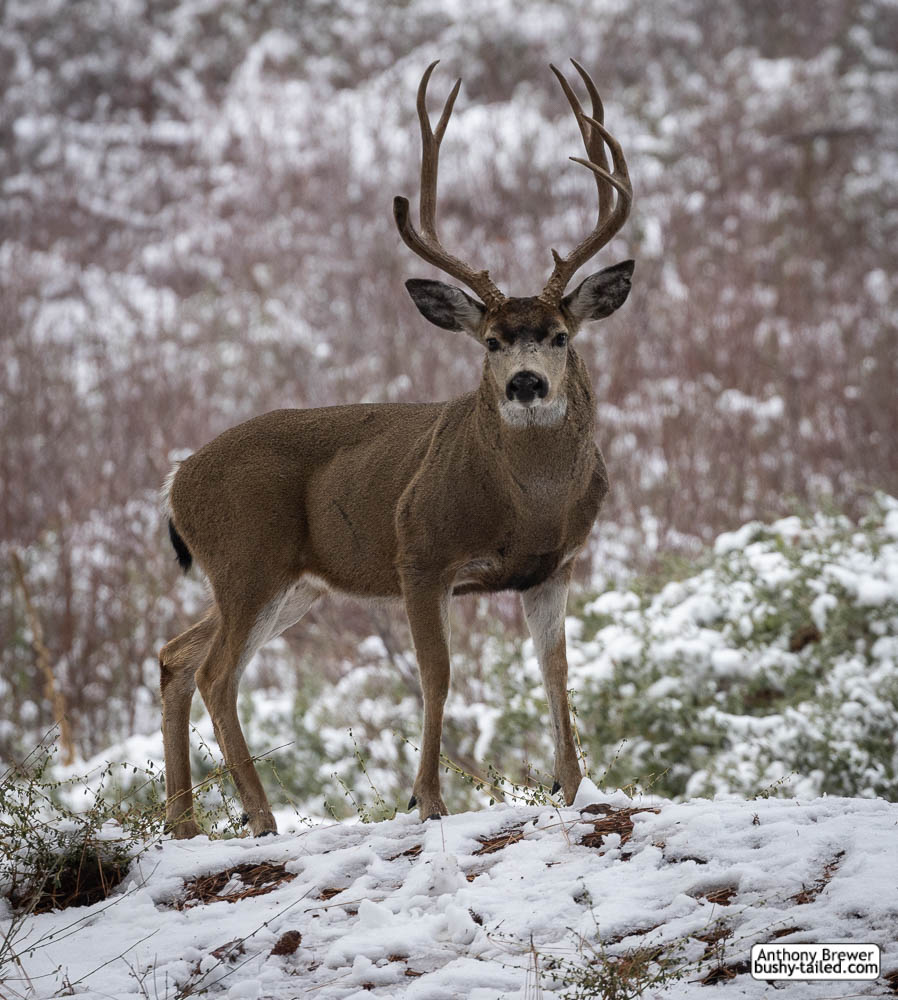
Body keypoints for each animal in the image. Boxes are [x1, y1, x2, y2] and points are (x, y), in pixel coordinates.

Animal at [159, 59, 634, 838]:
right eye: (491, 341)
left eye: (561, 335)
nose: (526, 384)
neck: (526, 505)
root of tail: (176, 485)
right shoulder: (420, 552)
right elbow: (437, 676)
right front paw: (429, 800)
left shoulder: (553, 567)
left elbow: (556, 672)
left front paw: (576, 790)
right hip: (247, 558)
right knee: (215, 672)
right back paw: (260, 817)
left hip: (288, 581)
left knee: (176, 655)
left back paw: (184, 824)